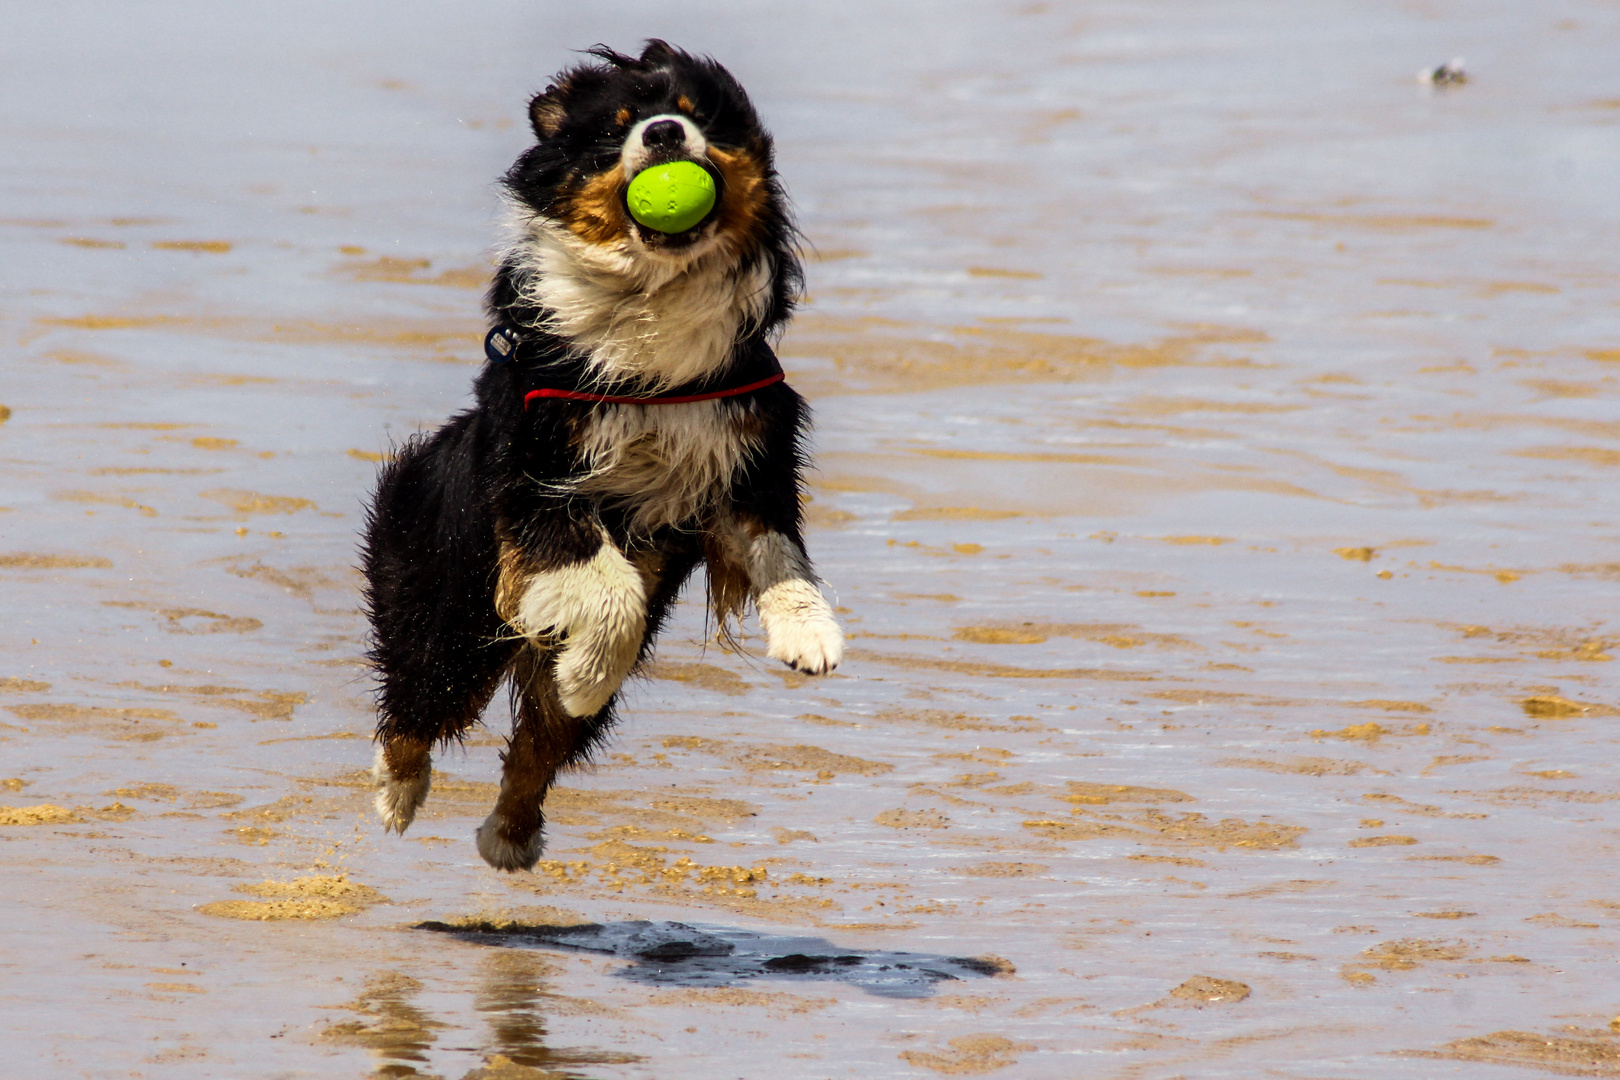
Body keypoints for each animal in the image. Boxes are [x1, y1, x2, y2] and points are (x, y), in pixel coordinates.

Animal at [359, 40, 842, 880]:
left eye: (698, 113)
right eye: (616, 127)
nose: (663, 134)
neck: (654, 308)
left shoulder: (746, 444)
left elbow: (776, 543)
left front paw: (808, 632)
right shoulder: (538, 479)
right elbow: (611, 593)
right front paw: (586, 670)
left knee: (540, 745)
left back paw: (510, 835)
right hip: (448, 611)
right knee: (419, 704)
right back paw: (398, 792)